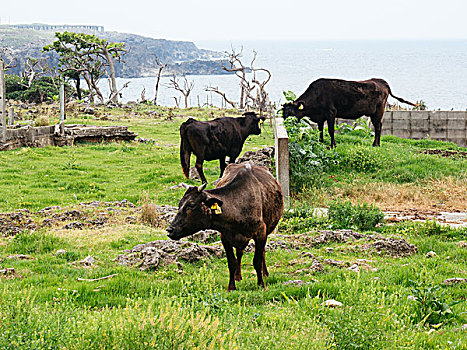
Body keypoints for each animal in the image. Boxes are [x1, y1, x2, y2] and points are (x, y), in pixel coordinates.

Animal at [168, 163, 286, 292]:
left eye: (191, 205)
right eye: (180, 204)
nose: (170, 230)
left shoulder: (261, 233)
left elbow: (257, 261)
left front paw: (261, 284)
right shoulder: (225, 237)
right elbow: (231, 262)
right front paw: (231, 286)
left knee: (261, 252)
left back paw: (265, 274)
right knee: (239, 253)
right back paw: (238, 276)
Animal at [282, 77, 416, 146]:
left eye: (291, 113)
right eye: (283, 114)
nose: (285, 125)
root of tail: (382, 81)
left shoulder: (331, 113)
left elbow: (331, 130)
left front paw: (333, 145)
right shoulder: (320, 117)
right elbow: (320, 130)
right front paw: (321, 142)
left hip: (378, 111)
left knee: (378, 127)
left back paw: (375, 144)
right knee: (379, 126)